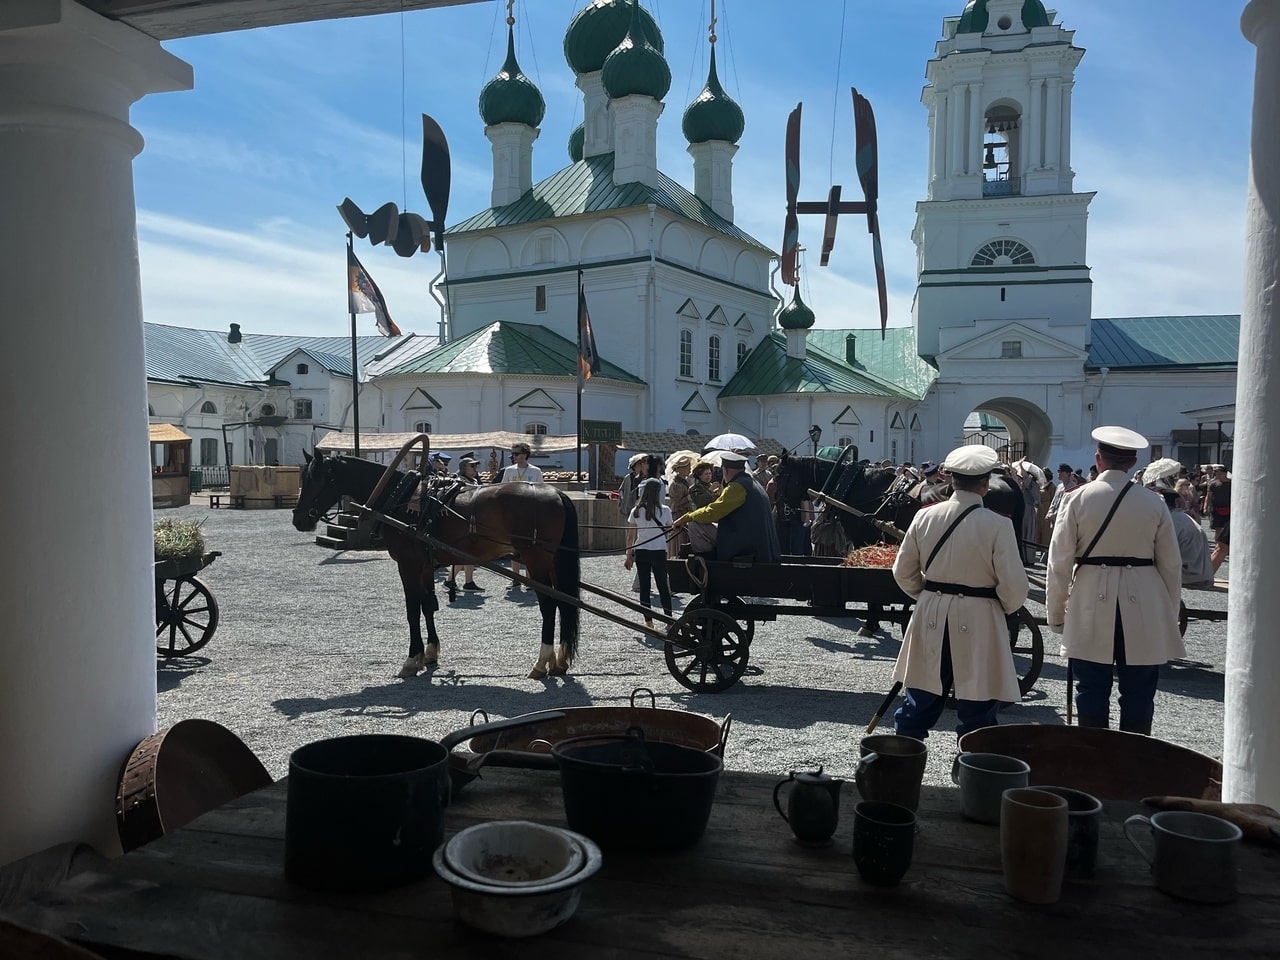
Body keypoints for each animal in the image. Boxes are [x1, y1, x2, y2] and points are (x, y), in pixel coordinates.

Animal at [293, 455, 578, 680]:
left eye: (316, 479)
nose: (298, 518)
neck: (400, 497)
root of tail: (556, 492)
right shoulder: (425, 565)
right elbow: (428, 605)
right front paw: (429, 653)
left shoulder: (408, 564)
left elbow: (412, 609)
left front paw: (411, 660)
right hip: (552, 563)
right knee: (564, 602)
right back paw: (559, 660)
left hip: (536, 560)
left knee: (549, 605)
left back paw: (541, 661)